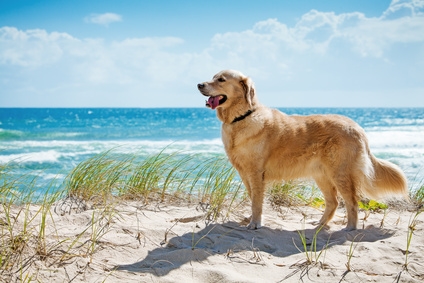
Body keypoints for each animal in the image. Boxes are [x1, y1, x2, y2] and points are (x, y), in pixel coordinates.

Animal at [197, 70, 410, 232]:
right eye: (213, 76)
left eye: (221, 79)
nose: (199, 84)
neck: (241, 117)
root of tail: (357, 126)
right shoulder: (245, 173)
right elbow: (253, 198)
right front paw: (251, 219)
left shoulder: (256, 173)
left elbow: (257, 201)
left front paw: (255, 223)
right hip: (322, 175)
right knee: (333, 202)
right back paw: (320, 225)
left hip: (340, 173)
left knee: (352, 202)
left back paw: (350, 228)